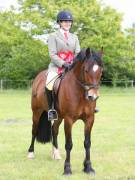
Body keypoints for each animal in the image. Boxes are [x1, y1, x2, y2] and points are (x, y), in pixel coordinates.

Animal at [27, 47, 103, 175]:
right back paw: (31, 153)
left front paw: (88, 167)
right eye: (86, 70)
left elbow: (87, 143)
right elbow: (69, 144)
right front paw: (67, 169)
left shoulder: (89, 119)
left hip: (58, 117)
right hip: (36, 112)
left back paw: (56, 154)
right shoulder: (69, 120)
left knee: (54, 130)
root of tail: (38, 77)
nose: (93, 96)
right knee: (34, 130)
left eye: (101, 71)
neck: (80, 92)